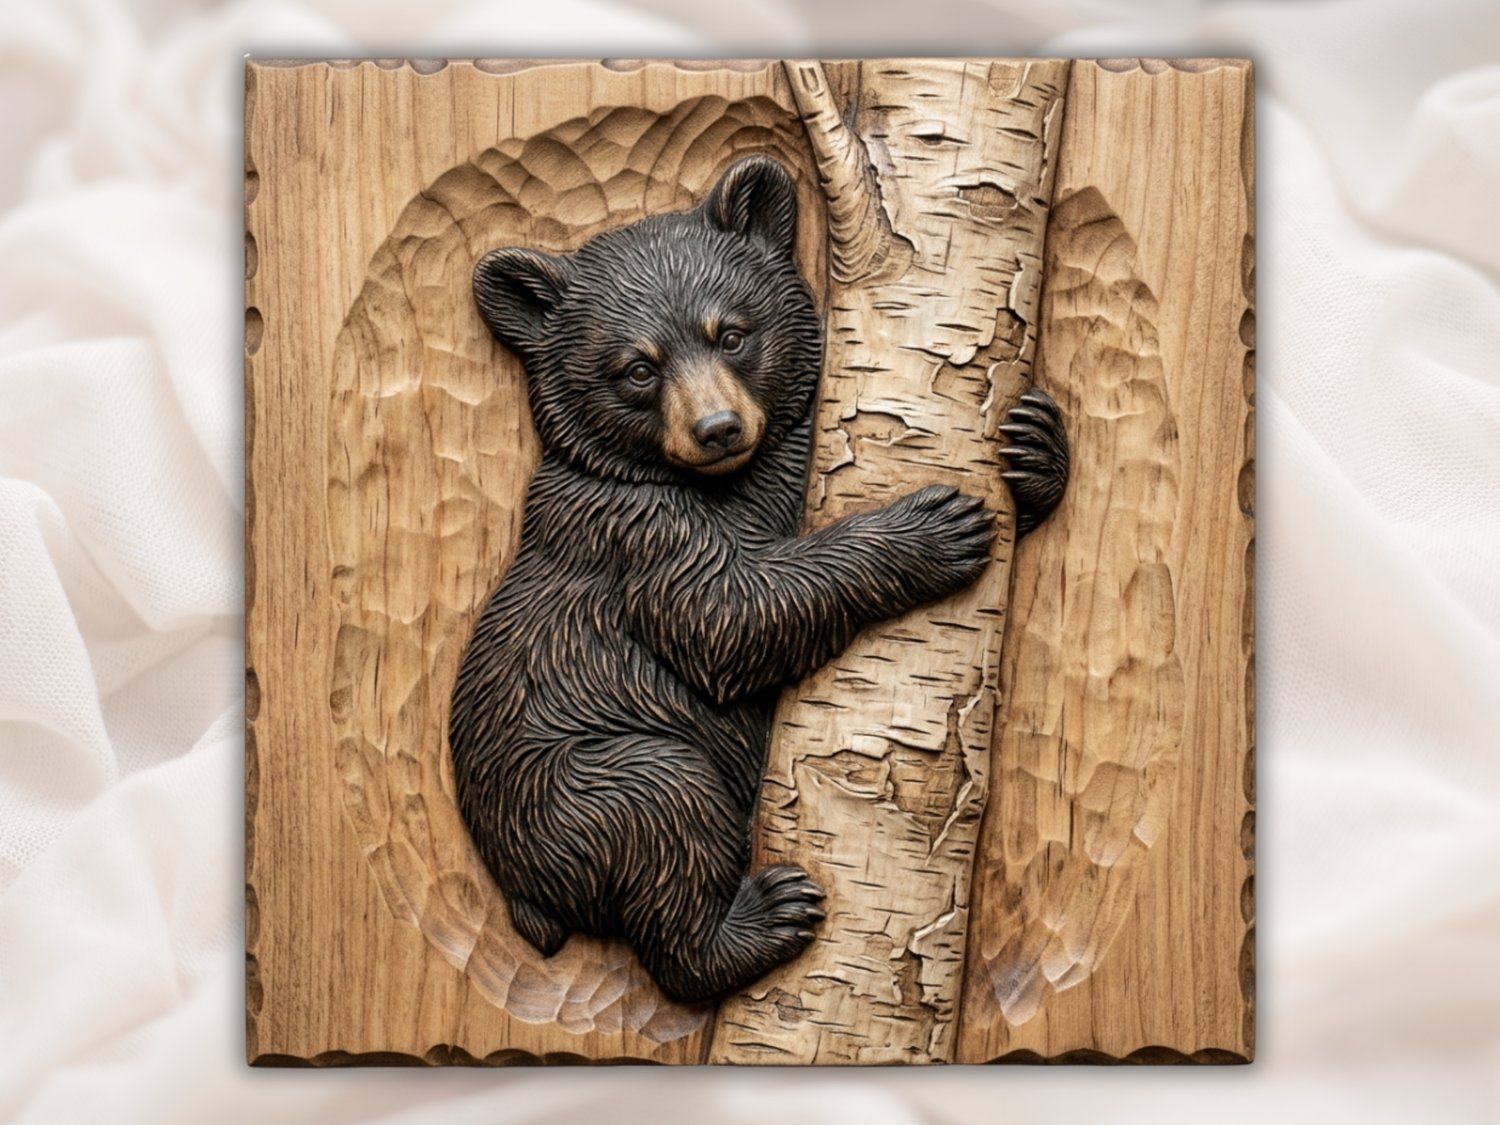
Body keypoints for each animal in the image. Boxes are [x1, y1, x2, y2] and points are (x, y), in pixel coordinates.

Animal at [449, 155, 1069, 1004]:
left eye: (733, 332)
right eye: (637, 367)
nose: (718, 429)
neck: (720, 479)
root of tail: (522, 889)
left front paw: (1035, 445)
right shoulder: (634, 533)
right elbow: (732, 616)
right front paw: (933, 528)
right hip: (573, 786)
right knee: (663, 814)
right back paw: (760, 918)